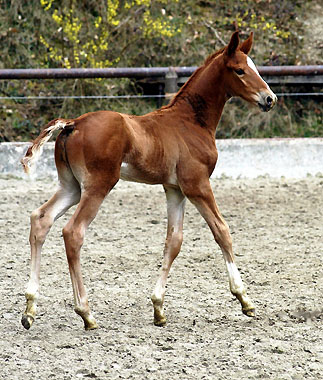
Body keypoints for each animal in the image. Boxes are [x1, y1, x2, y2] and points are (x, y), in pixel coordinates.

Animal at [21, 31, 278, 330]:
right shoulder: (197, 185)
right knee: (73, 232)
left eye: (254, 67)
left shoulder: (175, 189)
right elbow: (222, 232)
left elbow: (174, 241)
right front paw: (244, 299)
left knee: (41, 219)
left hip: (71, 186)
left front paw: (158, 308)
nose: (269, 99)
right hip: (98, 186)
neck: (191, 121)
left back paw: (29, 309)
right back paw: (86, 313)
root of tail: (72, 123)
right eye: (239, 70)